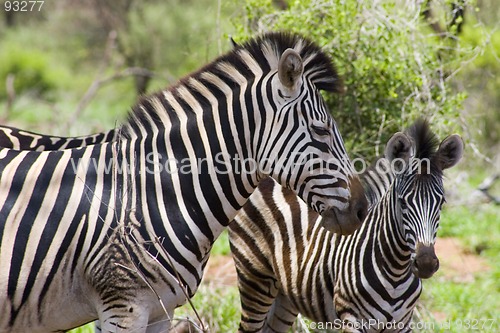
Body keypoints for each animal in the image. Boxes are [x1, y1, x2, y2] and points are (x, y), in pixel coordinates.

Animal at [230, 120, 464, 332]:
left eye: (441, 202)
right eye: (402, 202)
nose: (426, 264)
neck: (396, 272)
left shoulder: (402, 324)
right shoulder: (351, 319)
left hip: (285, 293)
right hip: (254, 277)